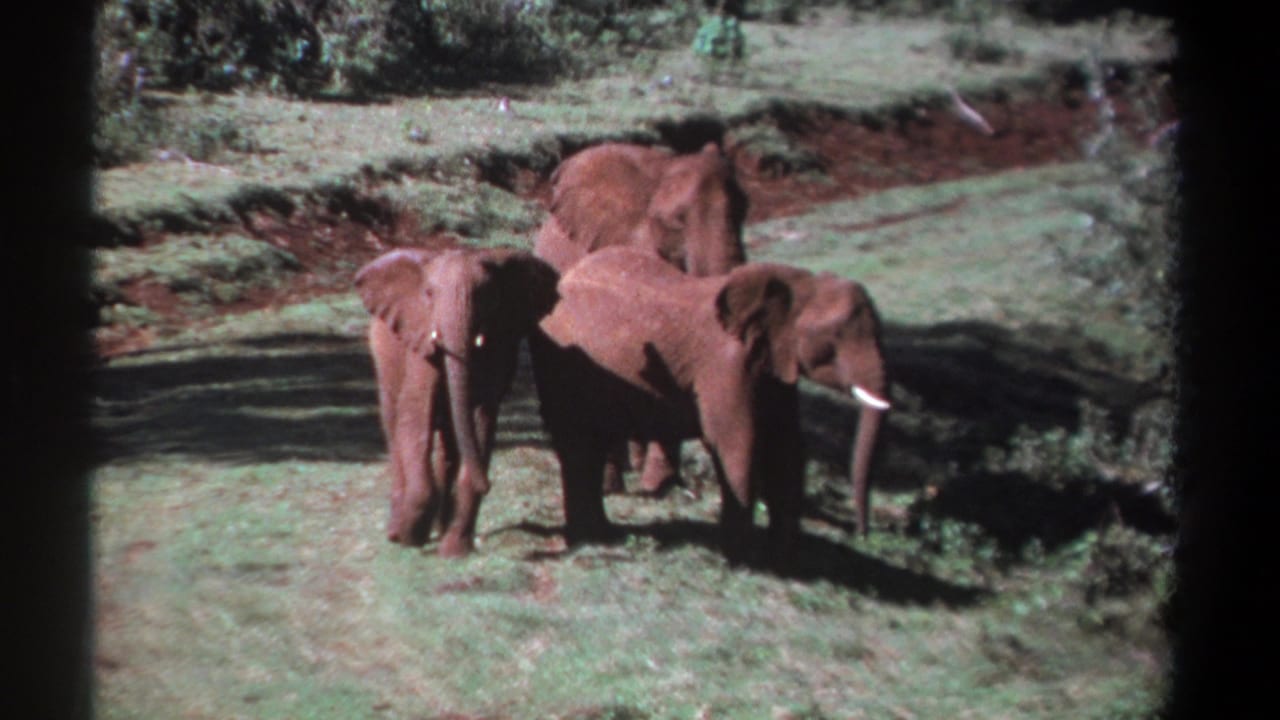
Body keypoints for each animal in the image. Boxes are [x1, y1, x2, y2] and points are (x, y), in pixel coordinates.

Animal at [355, 246, 558, 557]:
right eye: (428, 293)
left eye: (488, 295)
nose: (488, 484)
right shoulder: (419, 343)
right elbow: (415, 419)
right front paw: (410, 538)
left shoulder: (497, 347)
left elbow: (481, 420)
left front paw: (454, 551)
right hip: (384, 361)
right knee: (394, 427)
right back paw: (398, 532)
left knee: (450, 443)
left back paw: (438, 530)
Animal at [529, 247, 890, 565]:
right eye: (833, 338)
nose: (862, 533)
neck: (796, 284)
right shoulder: (725, 364)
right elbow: (737, 443)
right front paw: (745, 561)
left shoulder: (774, 367)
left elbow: (786, 446)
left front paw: (784, 559)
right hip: (561, 363)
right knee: (577, 444)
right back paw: (589, 538)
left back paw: (601, 535)